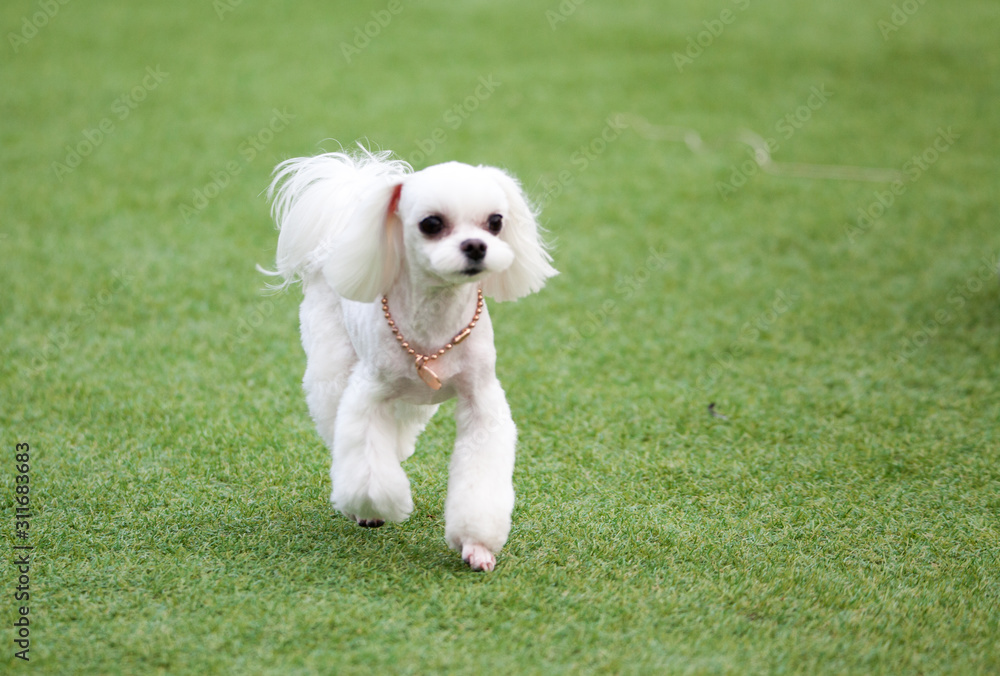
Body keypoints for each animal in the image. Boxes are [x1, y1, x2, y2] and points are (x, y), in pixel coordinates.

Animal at [262, 148, 560, 572]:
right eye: (431, 223)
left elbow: (479, 480)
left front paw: (477, 546)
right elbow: (369, 469)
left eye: (496, 222)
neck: (434, 323)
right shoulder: (367, 396)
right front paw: (378, 507)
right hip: (331, 365)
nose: (476, 246)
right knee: (336, 424)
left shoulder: (482, 401)